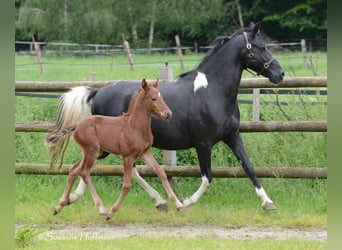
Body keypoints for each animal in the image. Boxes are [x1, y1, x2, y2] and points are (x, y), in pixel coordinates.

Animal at [45, 79, 186, 220]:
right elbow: (127, 185)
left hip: (91, 152)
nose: (168, 114)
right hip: (92, 152)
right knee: (84, 172)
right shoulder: (128, 157)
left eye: (162, 97)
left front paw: (179, 205)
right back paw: (101, 209)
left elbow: (161, 172)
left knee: (74, 170)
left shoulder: (144, 153)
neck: (134, 126)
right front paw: (112, 212)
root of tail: (77, 124)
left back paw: (60, 205)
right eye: (153, 98)